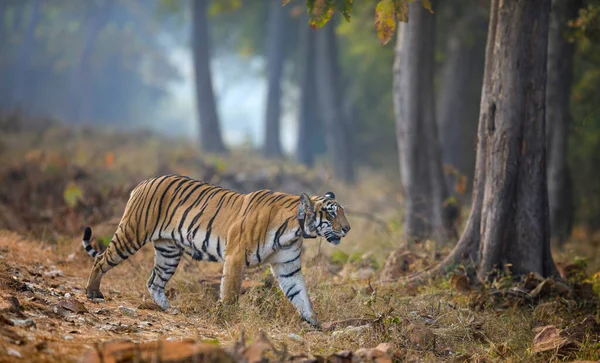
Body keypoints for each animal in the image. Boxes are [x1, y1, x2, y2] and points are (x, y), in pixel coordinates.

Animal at [81, 173, 352, 328]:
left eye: (342, 211)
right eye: (331, 213)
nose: (347, 228)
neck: (295, 230)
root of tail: (143, 182)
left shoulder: (287, 266)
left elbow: (300, 294)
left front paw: (314, 321)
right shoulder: (235, 256)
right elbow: (230, 291)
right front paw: (229, 318)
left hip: (169, 252)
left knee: (154, 282)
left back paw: (170, 309)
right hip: (132, 233)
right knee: (101, 259)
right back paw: (93, 293)